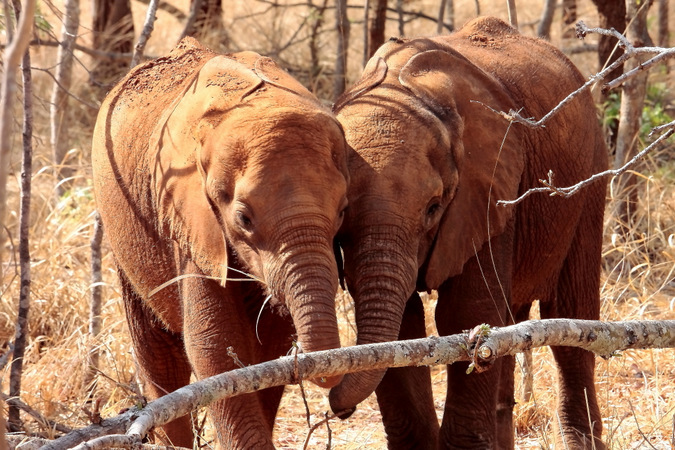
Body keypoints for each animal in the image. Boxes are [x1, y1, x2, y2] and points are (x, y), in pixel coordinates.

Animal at [91, 37, 348, 448]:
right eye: (243, 219)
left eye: (342, 211)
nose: (337, 403)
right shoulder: (189, 218)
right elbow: (214, 346)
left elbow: (267, 350)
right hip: (124, 230)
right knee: (158, 354)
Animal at [330, 15, 608, 448]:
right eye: (342, 215)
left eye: (433, 208)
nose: (340, 410)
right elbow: (406, 328)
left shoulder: (490, 187)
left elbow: (466, 313)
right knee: (512, 325)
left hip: (590, 175)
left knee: (571, 322)